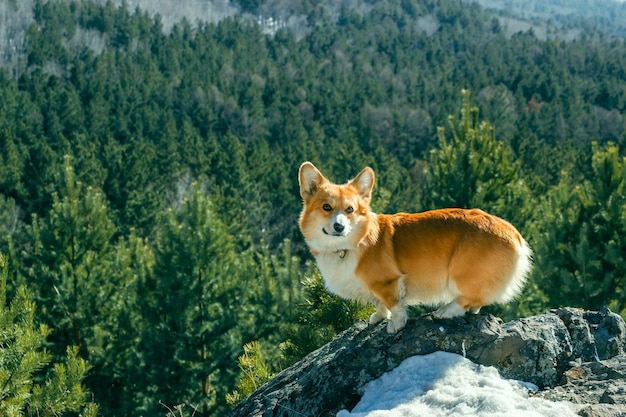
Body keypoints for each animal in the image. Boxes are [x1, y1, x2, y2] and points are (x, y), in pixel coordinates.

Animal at [294, 161, 528, 334]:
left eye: (350, 209)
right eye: (326, 207)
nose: (339, 227)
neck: (350, 245)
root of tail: (514, 234)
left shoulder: (388, 282)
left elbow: (394, 304)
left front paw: (395, 325)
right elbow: (380, 304)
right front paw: (378, 317)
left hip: (460, 273)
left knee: (471, 297)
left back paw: (445, 311)